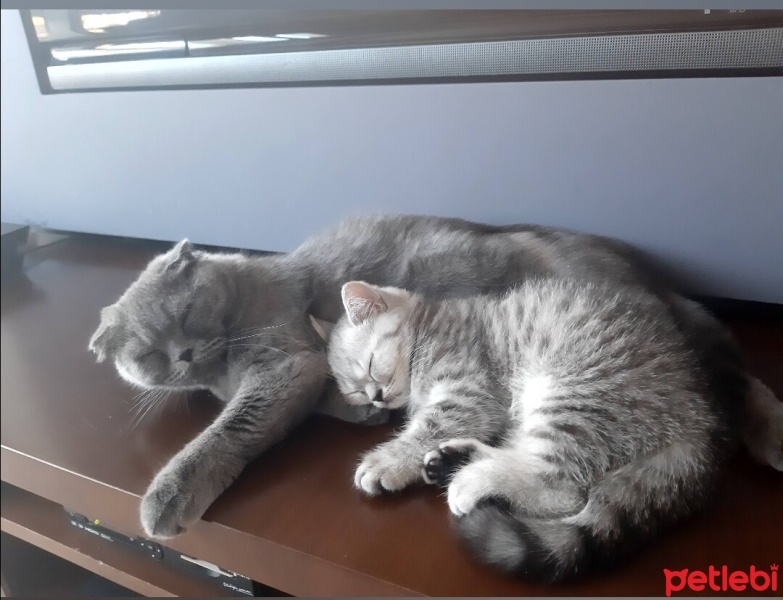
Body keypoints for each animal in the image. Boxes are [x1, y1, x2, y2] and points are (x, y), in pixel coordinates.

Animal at [89, 214, 780, 540]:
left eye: (186, 314)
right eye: (148, 353)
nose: (182, 355)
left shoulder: (286, 366)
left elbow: (230, 429)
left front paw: (169, 494)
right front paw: (366, 413)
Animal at [328, 280, 752, 580]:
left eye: (370, 366)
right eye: (356, 393)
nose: (376, 397)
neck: (430, 325)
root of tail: (700, 417)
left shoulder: (469, 394)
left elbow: (430, 426)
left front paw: (385, 462)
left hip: (571, 392)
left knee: (561, 487)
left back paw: (469, 480)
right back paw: (455, 461)